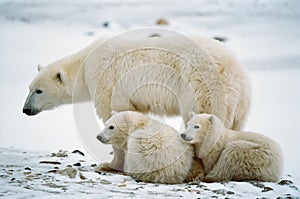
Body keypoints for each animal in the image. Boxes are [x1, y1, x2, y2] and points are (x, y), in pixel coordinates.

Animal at [22, 31, 251, 171]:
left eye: (39, 91)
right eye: (29, 88)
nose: (25, 109)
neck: (86, 64)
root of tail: (235, 70)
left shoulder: (107, 81)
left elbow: (114, 114)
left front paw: (110, 164)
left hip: (201, 84)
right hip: (241, 100)